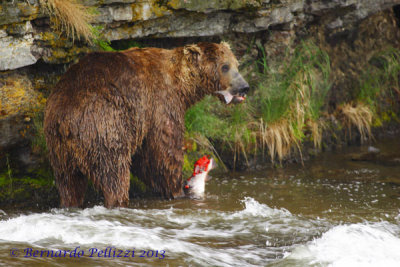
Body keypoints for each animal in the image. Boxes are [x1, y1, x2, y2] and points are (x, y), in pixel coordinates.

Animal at [44, 42, 250, 209]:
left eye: (236, 64)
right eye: (225, 66)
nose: (244, 86)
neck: (181, 84)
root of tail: (66, 122)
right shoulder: (160, 103)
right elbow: (162, 151)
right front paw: (177, 189)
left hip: (59, 150)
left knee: (69, 183)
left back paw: (69, 203)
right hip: (105, 127)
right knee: (114, 173)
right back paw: (118, 201)